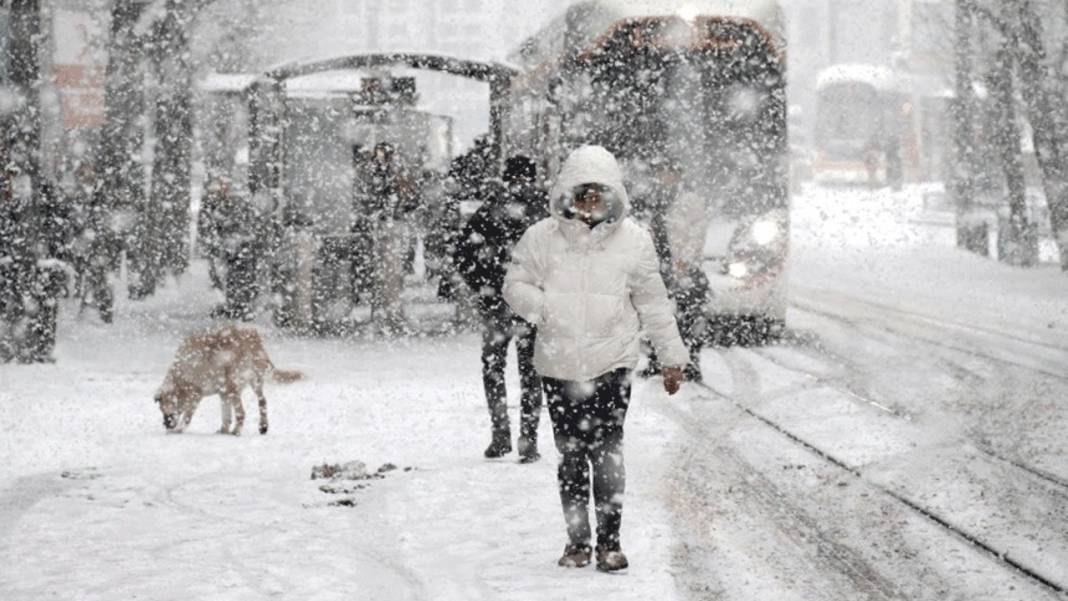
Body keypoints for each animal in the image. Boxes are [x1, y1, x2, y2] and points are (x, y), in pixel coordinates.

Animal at [150, 326, 303, 435]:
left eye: (163, 409)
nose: (165, 424)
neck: (179, 376)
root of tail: (252, 340)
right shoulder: (223, 393)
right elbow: (226, 416)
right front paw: (223, 430)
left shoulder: (195, 395)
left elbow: (187, 417)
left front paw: (179, 430)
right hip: (254, 383)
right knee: (262, 401)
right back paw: (263, 427)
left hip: (233, 386)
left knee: (241, 413)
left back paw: (237, 431)